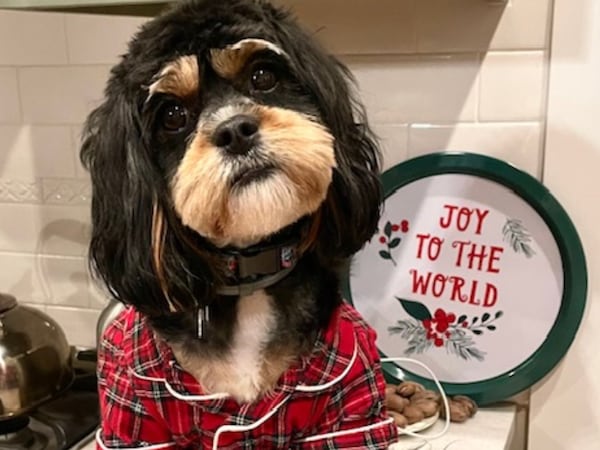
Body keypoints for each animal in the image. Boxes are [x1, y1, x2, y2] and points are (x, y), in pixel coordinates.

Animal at [81, 0, 398, 446]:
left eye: (263, 76)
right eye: (173, 115)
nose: (235, 130)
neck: (249, 282)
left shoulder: (352, 405)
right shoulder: (132, 410)